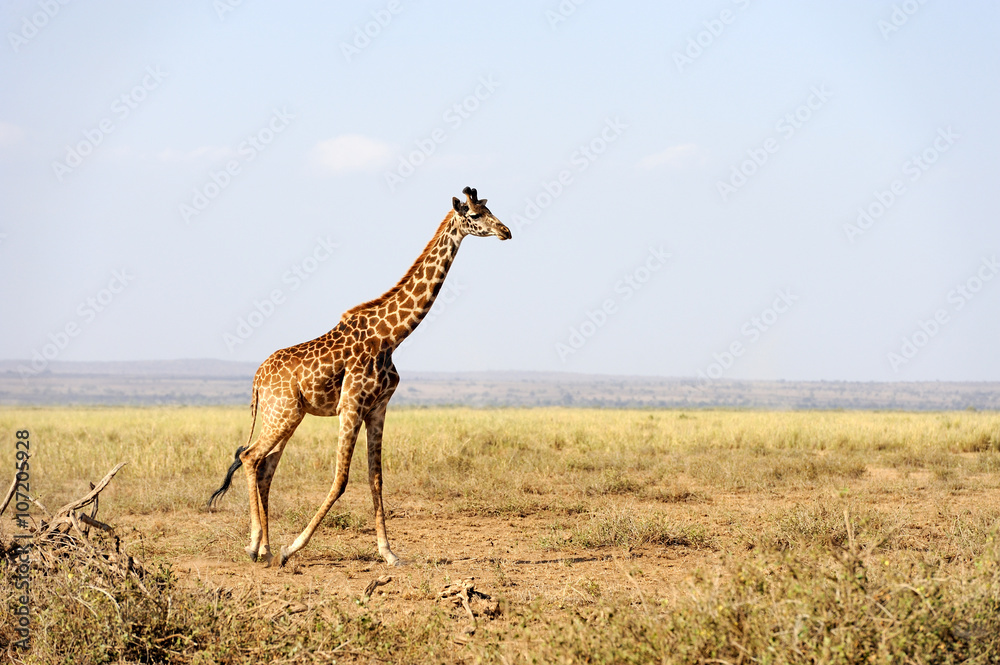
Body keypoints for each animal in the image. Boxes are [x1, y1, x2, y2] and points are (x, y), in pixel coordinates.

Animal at [209, 187, 510, 568]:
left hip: (288, 415)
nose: (505, 231)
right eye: (474, 215)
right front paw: (292, 548)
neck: (391, 336)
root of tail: (257, 379)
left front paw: (389, 553)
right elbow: (341, 479)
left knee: (264, 467)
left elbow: (375, 478)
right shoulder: (351, 406)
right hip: (283, 413)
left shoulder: (377, 408)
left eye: (489, 209)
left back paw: (263, 547)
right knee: (250, 457)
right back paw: (256, 546)